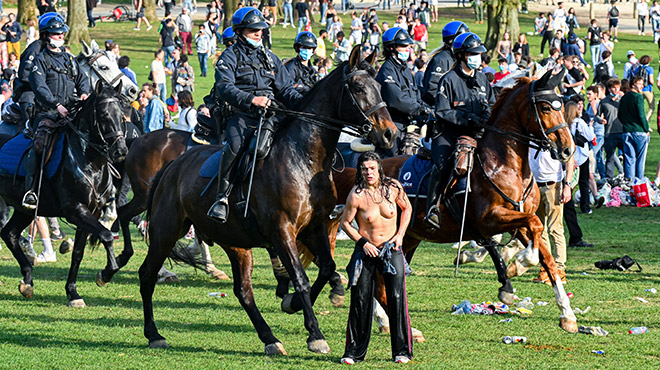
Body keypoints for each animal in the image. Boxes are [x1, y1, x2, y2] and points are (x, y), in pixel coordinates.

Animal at [0, 82, 130, 308]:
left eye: (121, 114)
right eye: (104, 115)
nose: (121, 151)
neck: (90, 162)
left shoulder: (91, 213)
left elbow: (78, 253)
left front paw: (73, 293)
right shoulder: (75, 210)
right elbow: (106, 236)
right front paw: (105, 274)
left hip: (24, 210)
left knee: (9, 234)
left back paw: (27, 281)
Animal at [140, 44, 398, 354]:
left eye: (379, 87)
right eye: (358, 87)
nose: (389, 133)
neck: (302, 158)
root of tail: (171, 168)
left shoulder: (314, 228)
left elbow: (327, 268)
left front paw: (295, 303)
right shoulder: (282, 231)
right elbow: (300, 277)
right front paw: (315, 334)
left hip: (235, 244)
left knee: (243, 291)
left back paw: (270, 339)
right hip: (165, 233)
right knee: (147, 275)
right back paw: (154, 333)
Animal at [328, 68, 576, 332]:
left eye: (561, 106)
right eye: (546, 107)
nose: (567, 150)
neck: (506, 166)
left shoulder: (514, 221)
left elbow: (546, 256)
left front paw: (567, 314)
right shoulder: (490, 220)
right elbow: (534, 226)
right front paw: (517, 265)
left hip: (407, 237)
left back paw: (384, 320)